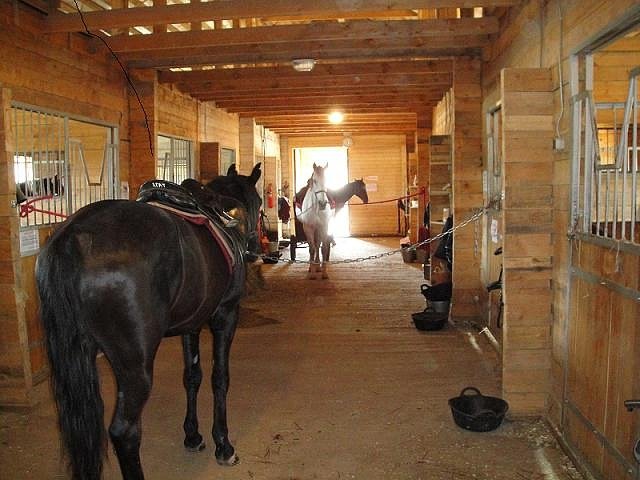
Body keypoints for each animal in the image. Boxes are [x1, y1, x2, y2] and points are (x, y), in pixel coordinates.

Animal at [35, 163, 262, 480]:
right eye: (258, 202)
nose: (255, 249)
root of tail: (73, 237)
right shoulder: (225, 315)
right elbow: (219, 378)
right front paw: (223, 445)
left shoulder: (191, 325)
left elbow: (192, 376)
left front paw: (193, 436)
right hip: (135, 367)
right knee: (124, 432)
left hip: (77, 359)